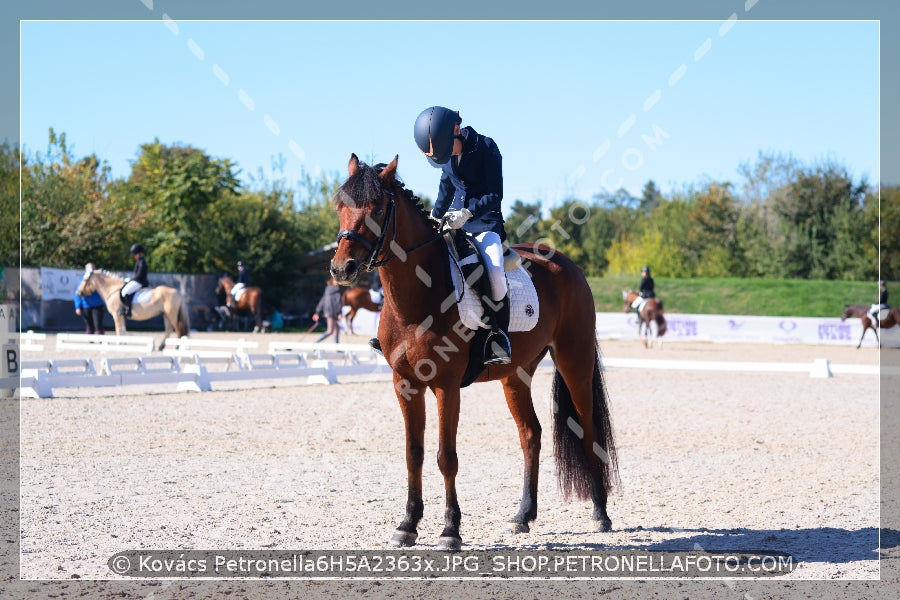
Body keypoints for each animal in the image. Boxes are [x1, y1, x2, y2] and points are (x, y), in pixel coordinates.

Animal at [330, 156, 620, 552]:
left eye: (376, 208)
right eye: (340, 206)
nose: (341, 268)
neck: (416, 297)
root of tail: (568, 265)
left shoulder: (446, 386)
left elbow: (445, 457)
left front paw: (450, 531)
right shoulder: (405, 384)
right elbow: (413, 453)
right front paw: (408, 524)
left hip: (574, 360)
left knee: (588, 430)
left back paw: (600, 513)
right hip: (516, 375)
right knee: (530, 434)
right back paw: (522, 517)